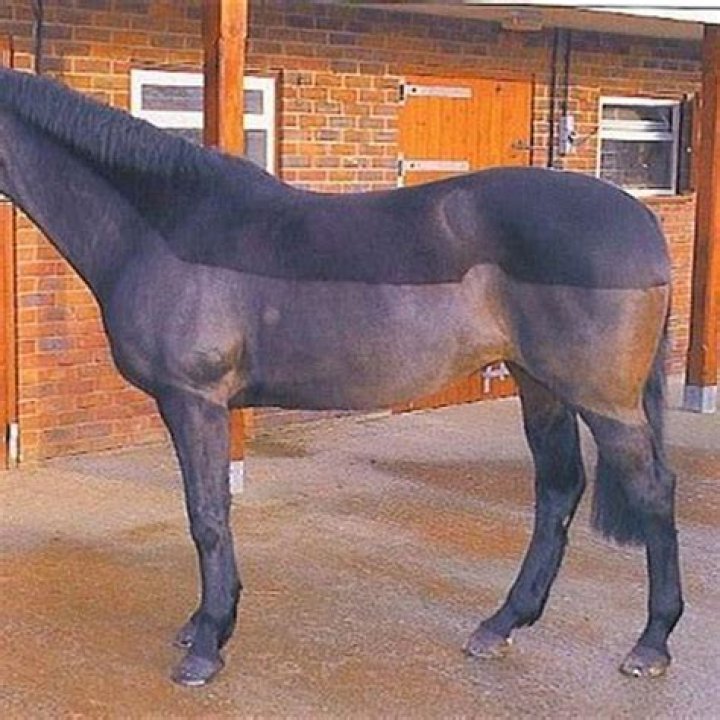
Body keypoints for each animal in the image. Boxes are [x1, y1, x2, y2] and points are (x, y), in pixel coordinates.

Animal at [0, 68, 682, 687]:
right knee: (558, 489)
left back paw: (651, 643)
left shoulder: (194, 400)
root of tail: (642, 223)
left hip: (605, 401)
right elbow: (211, 510)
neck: (163, 226)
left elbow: (207, 515)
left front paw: (208, 644)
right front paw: (204, 625)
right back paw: (501, 625)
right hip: (539, 385)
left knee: (653, 491)